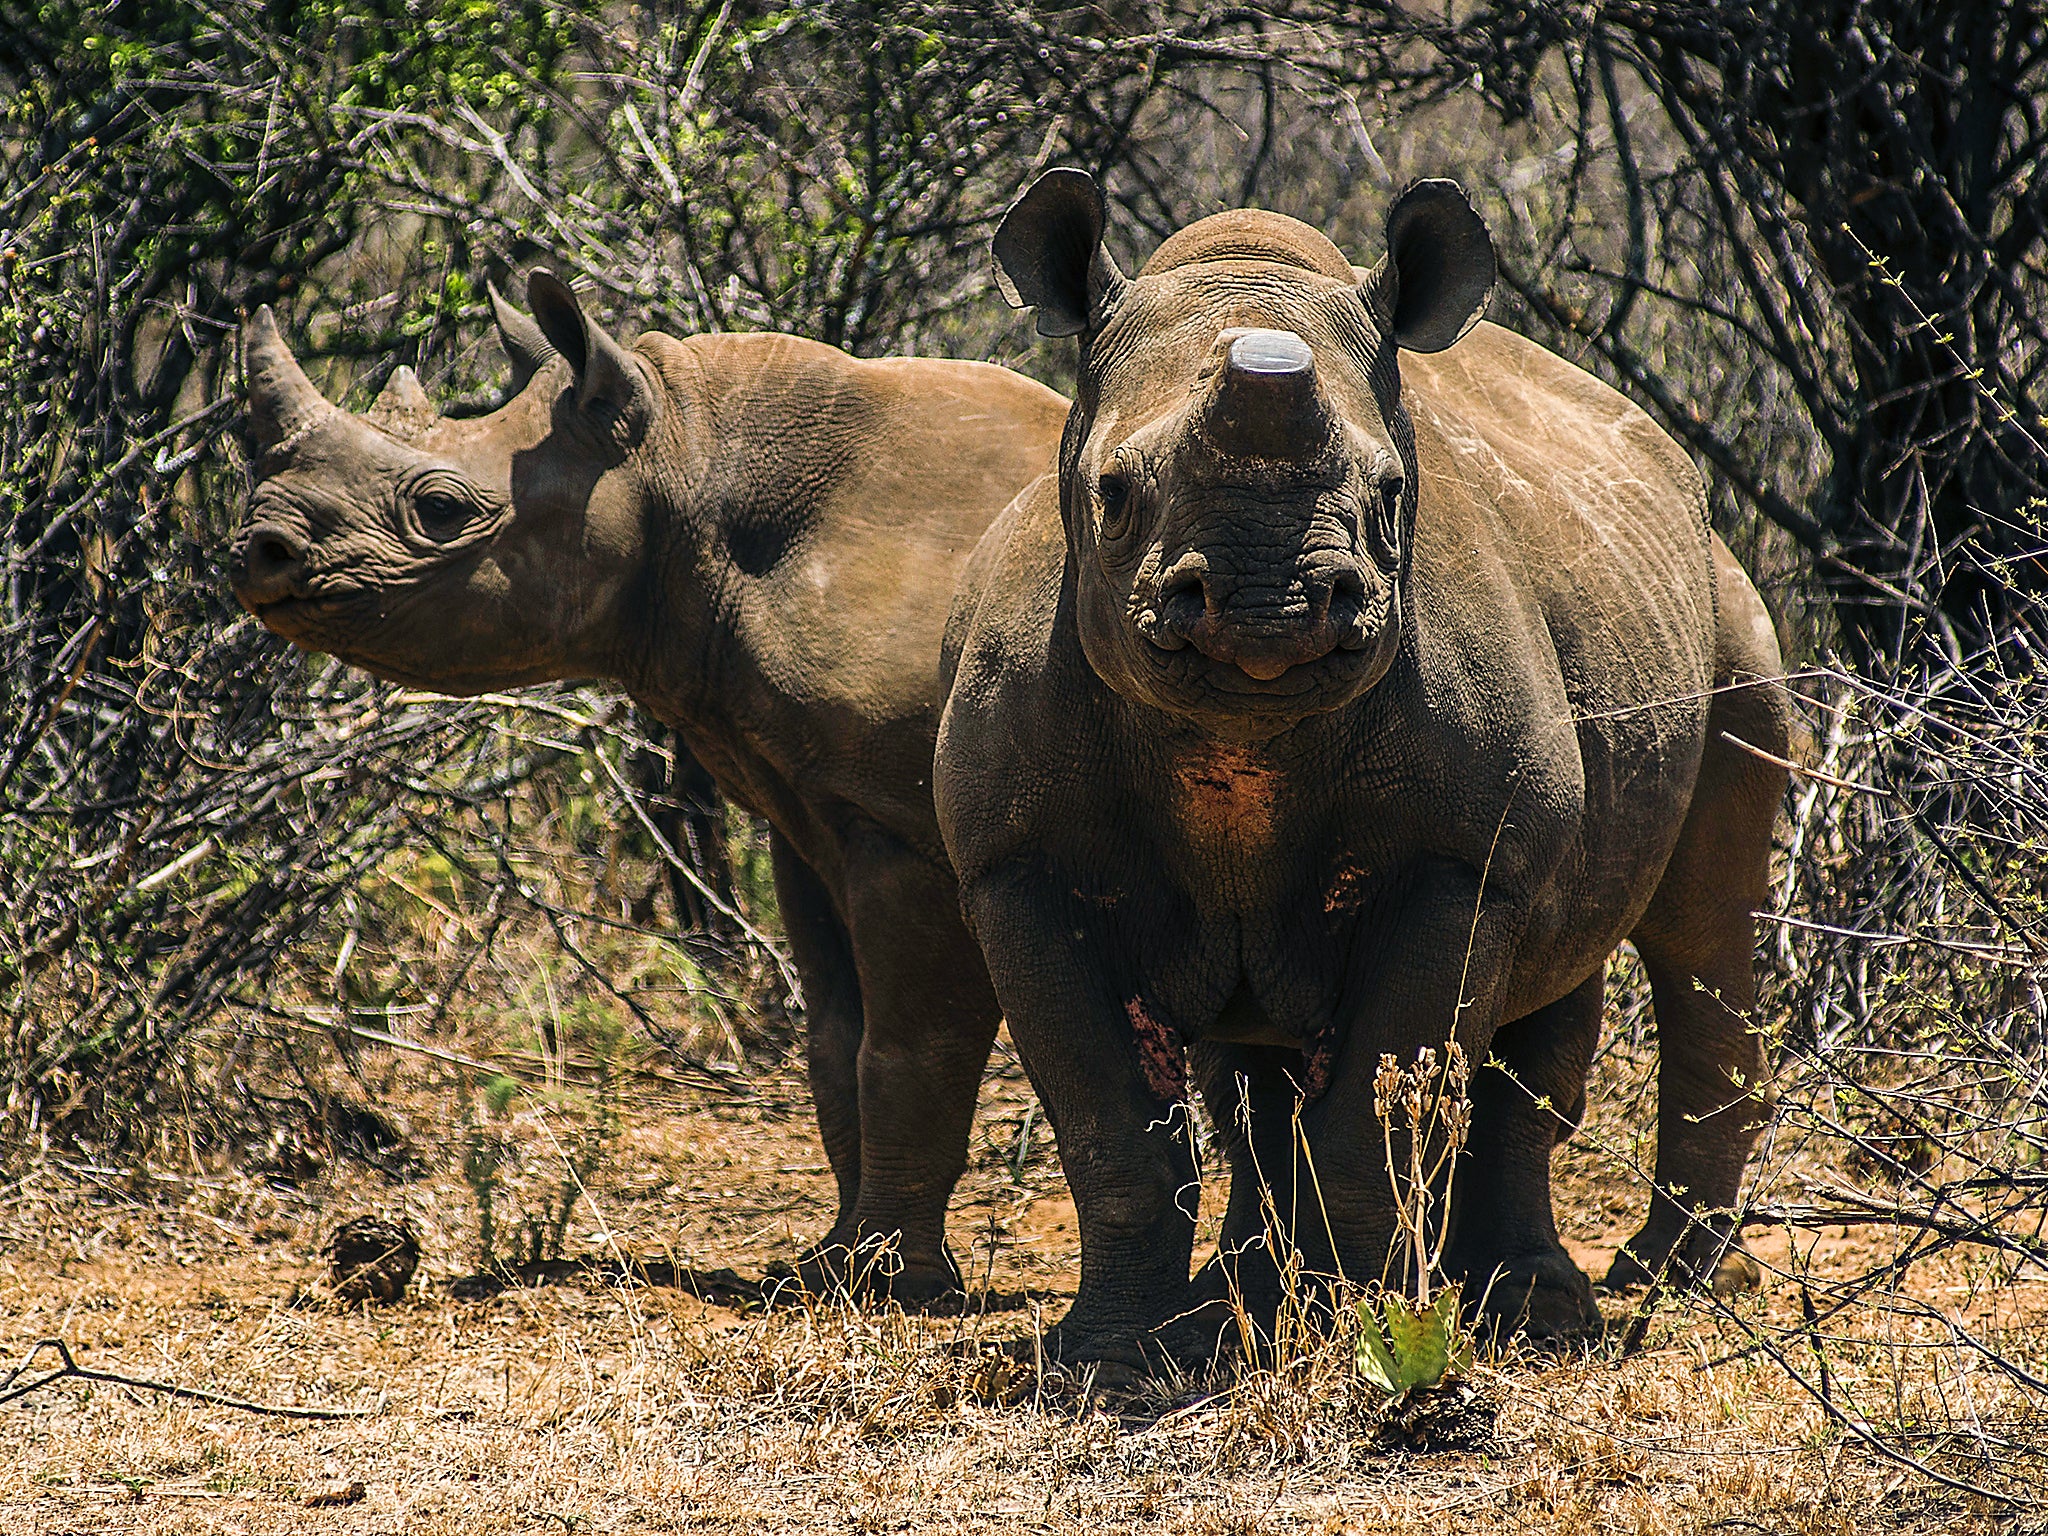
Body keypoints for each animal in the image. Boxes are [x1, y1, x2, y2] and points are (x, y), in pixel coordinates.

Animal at [235, 274, 1073, 1302]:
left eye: (439, 508)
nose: (258, 550)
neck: (681, 455)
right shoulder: (810, 805)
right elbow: (836, 1041)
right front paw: (823, 1266)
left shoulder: (907, 822)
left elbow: (909, 1048)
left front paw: (887, 1288)